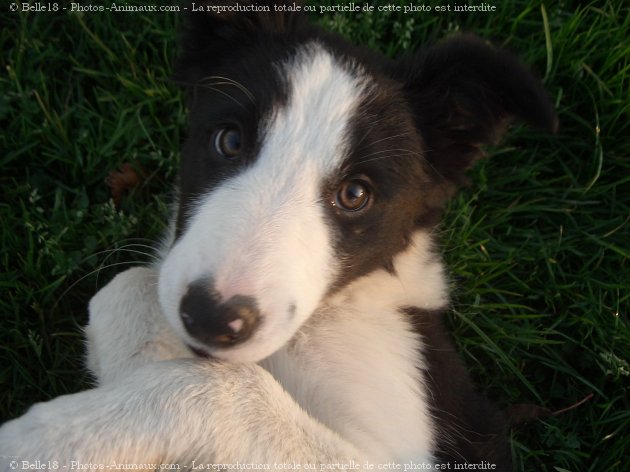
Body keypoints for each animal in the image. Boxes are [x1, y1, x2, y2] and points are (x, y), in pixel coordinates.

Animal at [0, 2, 552, 468]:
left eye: (356, 194)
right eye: (229, 141)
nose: (210, 319)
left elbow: (226, 389)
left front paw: (43, 442)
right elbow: (130, 285)